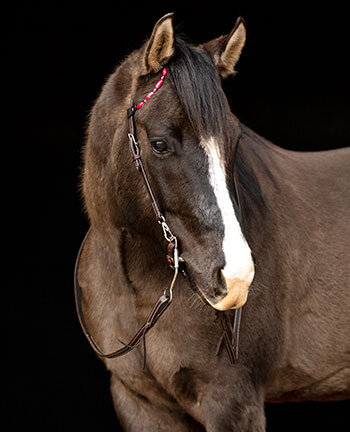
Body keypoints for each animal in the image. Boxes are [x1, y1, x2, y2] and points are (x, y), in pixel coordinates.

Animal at [75, 11, 348, 430]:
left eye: (235, 141)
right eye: (159, 144)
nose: (236, 278)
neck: (135, 289)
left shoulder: (232, 401)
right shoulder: (140, 402)